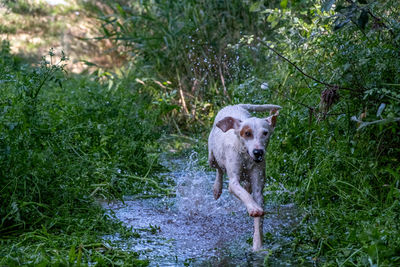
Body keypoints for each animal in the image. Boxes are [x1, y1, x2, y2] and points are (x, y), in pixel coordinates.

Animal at [208, 103, 280, 250]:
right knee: (218, 169)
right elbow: (243, 194)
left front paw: (258, 245)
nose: (258, 152)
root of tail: (234, 105)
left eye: (265, 133)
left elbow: (258, 219)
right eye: (247, 133)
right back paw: (217, 188)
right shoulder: (233, 182)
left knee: (246, 186)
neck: (246, 156)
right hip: (211, 157)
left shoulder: (258, 188)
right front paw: (253, 208)